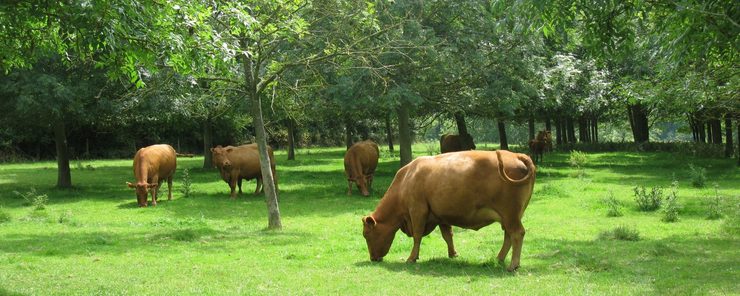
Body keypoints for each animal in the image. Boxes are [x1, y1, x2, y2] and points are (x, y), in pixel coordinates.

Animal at [362, 149, 536, 272]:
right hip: (510, 216)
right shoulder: (441, 216)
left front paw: (412, 257)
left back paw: (513, 265)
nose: (372, 258)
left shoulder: (417, 210)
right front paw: (453, 254)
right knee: (508, 235)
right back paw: (499, 258)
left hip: (510, 214)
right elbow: (448, 235)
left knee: (517, 233)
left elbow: (417, 236)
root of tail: (517, 155)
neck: (406, 179)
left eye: (366, 234)